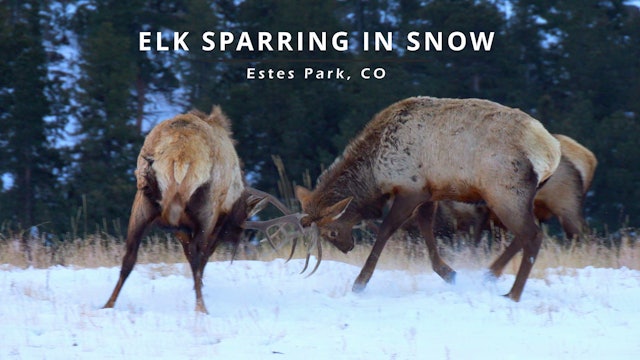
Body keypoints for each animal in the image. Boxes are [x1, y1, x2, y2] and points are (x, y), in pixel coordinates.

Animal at [103, 106, 302, 312]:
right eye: (234, 227)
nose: (235, 238)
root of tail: (180, 154)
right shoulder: (212, 222)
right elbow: (200, 256)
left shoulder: (180, 224)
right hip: (205, 207)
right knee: (197, 257)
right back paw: (201, 307)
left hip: (143, 201)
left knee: (130, 255)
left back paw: (109, 304)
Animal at [296, 96, 560, 300]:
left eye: (330, 232)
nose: (347, 247)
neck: (374, 173)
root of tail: (551, 150)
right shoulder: (431, 191)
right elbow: (426, 228)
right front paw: (450, 273)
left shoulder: (411, 188)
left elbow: (386, 230)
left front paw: (360, 283)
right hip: (513, 196)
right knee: (525, 235)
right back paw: (490, 274)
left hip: (505, 191)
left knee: (532, 235)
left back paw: (512, 294)